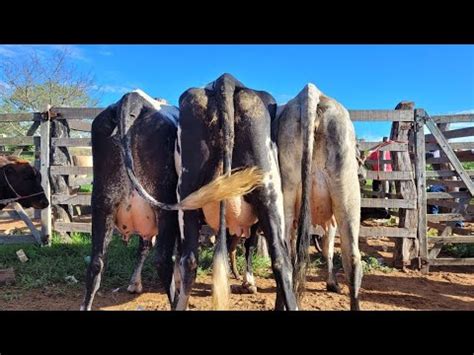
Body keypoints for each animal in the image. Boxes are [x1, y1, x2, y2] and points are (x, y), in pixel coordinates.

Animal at [274, 84, 362, 312]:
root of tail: (311, 92)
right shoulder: (330, 222)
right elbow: (328, 249)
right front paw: (332, 283)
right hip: (348, 195)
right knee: (352, 257)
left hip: (286, 195)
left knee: (285, 257)